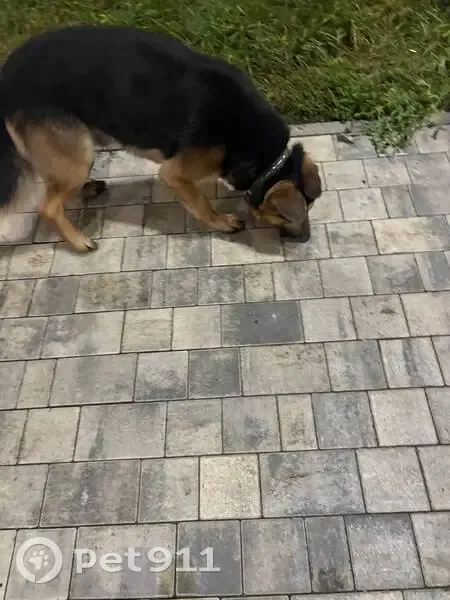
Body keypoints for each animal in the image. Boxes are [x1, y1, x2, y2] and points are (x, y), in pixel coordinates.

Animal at [0, 25, 322, 252]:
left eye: (309, 209)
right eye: (287, 217)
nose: (306, 240)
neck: (265, 155)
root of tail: (7, 75)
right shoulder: (176, 174)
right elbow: (202, 204)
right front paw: (223, 223)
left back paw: (86, 191)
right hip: (78, 153)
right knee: (47, 205)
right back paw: (79, 241)